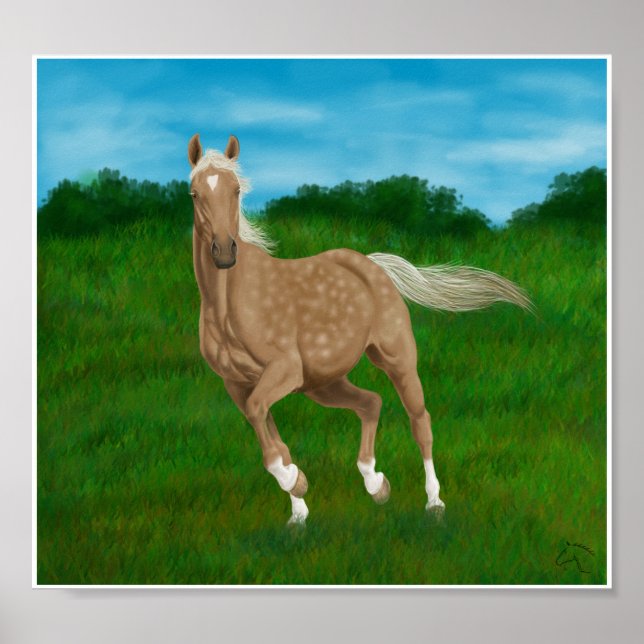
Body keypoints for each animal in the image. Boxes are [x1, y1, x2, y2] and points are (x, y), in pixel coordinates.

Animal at [188, 134, 531, 525]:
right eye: (194, 193)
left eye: (236, 190)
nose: (224, 252)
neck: (228, 304)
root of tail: (371, 264)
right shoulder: (237, 384)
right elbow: (267, 433)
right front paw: (299, 507)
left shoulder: (283, 370)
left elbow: (264, 423)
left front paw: (295, 481)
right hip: (321, 383)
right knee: (371, 403)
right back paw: (376, 484)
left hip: (396, 360)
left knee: (420, 422)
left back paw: (434, 502)